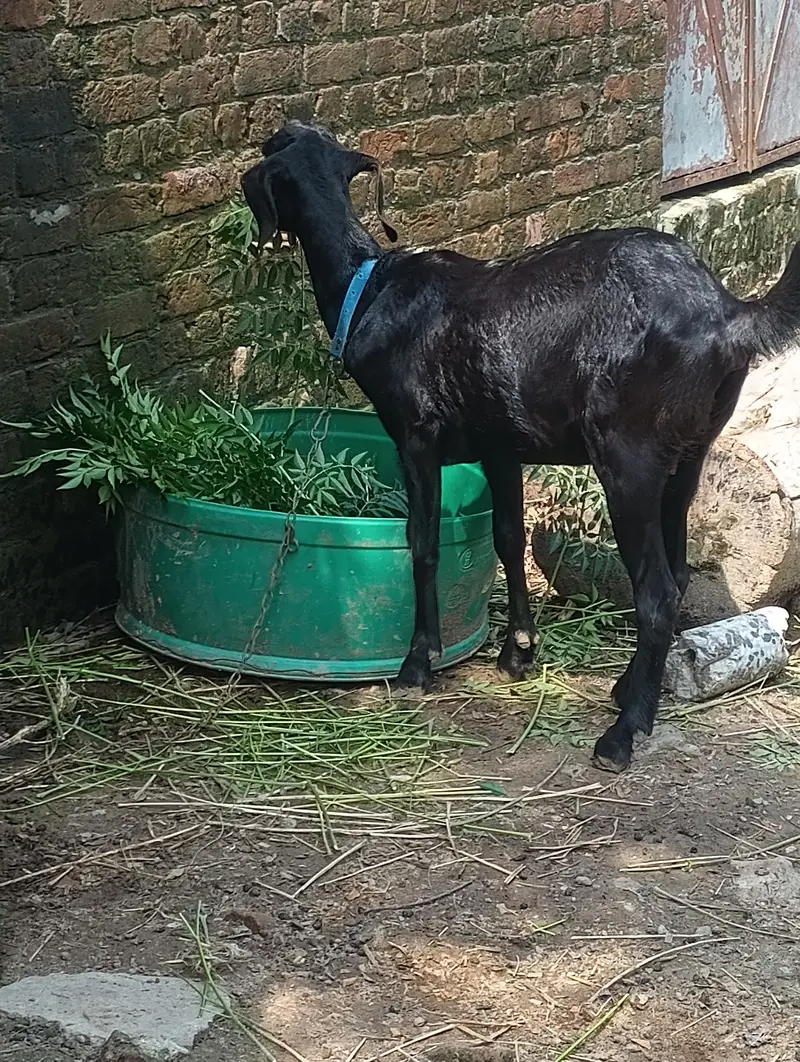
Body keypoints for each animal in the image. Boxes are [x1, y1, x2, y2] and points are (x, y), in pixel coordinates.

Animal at [241, 120, 800, 772]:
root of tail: (726, 315)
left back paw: (623, 732)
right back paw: (627, 688)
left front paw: (418, 663)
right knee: (680, 572)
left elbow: (422, 541)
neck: (371, 286)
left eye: (274, 149)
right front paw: (518, 652)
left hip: (628, 456)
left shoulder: (416, 435)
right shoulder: (501, 445)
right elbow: (507, 538)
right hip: (689, 453)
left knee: (657, 591)